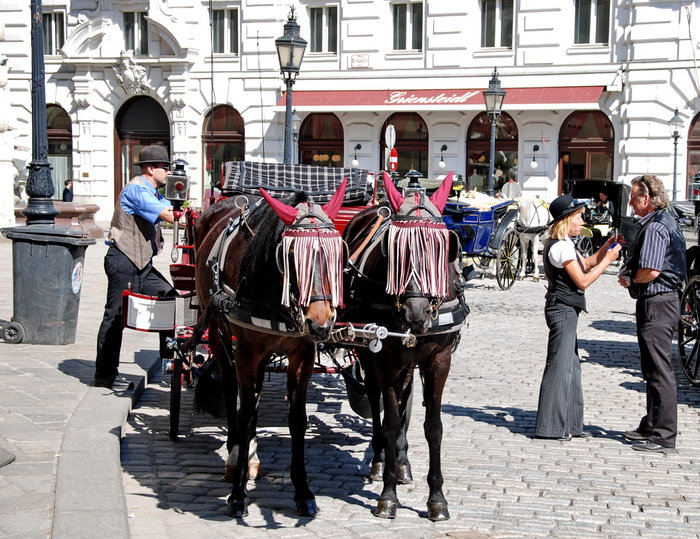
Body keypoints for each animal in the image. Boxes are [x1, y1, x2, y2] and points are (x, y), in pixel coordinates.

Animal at [193, 182, 346, 520]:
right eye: (290, 254)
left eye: (338, 253)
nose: (320, 323)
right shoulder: (247, 351)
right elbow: (246, 412)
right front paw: (237, 495)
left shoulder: (302, 355)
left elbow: (297, 419)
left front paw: (303, 492)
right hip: (218, 330)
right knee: (231, 388)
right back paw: (236, 455)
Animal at [342, 173, 468, 524]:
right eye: (394, 249)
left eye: (442, 250)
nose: (416, 313)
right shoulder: (384, 360)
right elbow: (390, 421)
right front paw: (387, 497)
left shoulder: (439, 360)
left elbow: (433, 427)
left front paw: (437, 499)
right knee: (377, 401)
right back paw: (380, 461)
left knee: (405, 398)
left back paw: (401, 463)